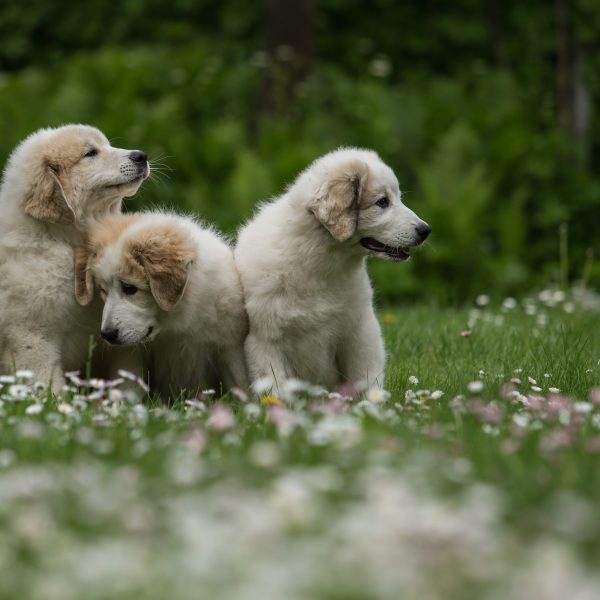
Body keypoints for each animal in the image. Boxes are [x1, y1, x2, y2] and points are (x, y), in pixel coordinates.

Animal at [0, 125, 149, 392]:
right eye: (90, 153)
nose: (141, 156)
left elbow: (126, 375)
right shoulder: (32, 336)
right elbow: (47, 382)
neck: (65, 242)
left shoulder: (116, 330)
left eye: (107, 145)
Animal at [74, 212, 248, 398]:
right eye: (103, 291)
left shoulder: (229, 345)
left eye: (129, 288)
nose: (107, 334)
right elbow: (130, 388)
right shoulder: (129, 356)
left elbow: (240, 384)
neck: (172, 326)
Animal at [236, 147, 432, 392]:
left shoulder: (359, 333)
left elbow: (366, 379)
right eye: (383, 202)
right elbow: (275, 387)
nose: (426, 230)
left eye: (398, 198)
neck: (322, 262)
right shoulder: (265, 340)